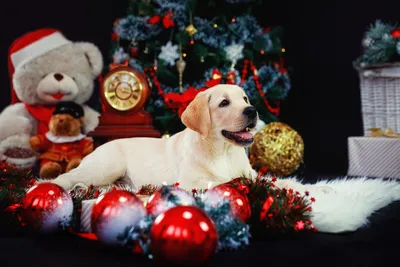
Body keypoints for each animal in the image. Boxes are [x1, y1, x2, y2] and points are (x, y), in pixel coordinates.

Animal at [49, 85, 260, 192]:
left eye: (245, 99)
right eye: (224, 103)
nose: (252, 110)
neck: (223, 151)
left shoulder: (252, 173)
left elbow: (259, 178)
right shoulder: (189, 182)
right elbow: (222, 182)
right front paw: (238, 182)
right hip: (107, 167)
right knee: (63, 177)